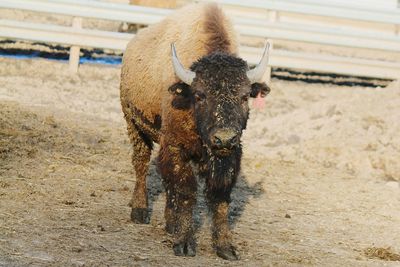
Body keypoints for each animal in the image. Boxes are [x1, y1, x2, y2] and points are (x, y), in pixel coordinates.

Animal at [119, 2, 268, 262]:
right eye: (200, 95)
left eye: (244, 96)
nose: (224, 138)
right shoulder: (176, 147)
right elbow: (186, 191)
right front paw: (184, 243)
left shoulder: (230, 156)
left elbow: (219, 197)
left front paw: (226, 247)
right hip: (134, 125)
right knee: (141, 164)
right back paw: (139, 210)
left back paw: (170, 223)